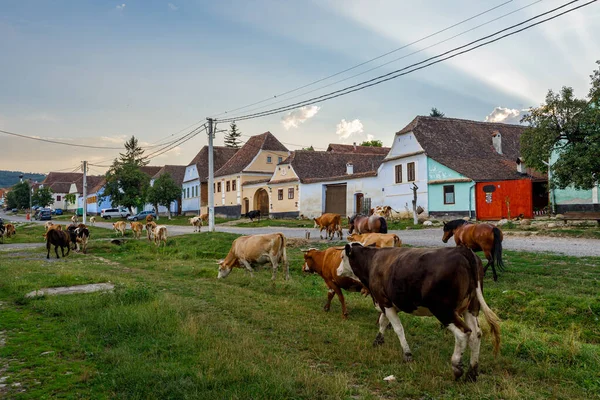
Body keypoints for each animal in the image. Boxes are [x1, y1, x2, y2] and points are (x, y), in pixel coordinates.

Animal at [338, 244, 502, 382]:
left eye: (342, 257)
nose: (338, 271)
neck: (372, 260)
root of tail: (462, 250)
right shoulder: (388, 302)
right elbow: (383, 322)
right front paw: (378, 340)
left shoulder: (384, 301)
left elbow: (398, 328)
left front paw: (407, 354)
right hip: (471, 307)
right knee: (476, 335)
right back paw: (471, 373)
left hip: (444, 310)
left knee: (463, 333)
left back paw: (456, 368)